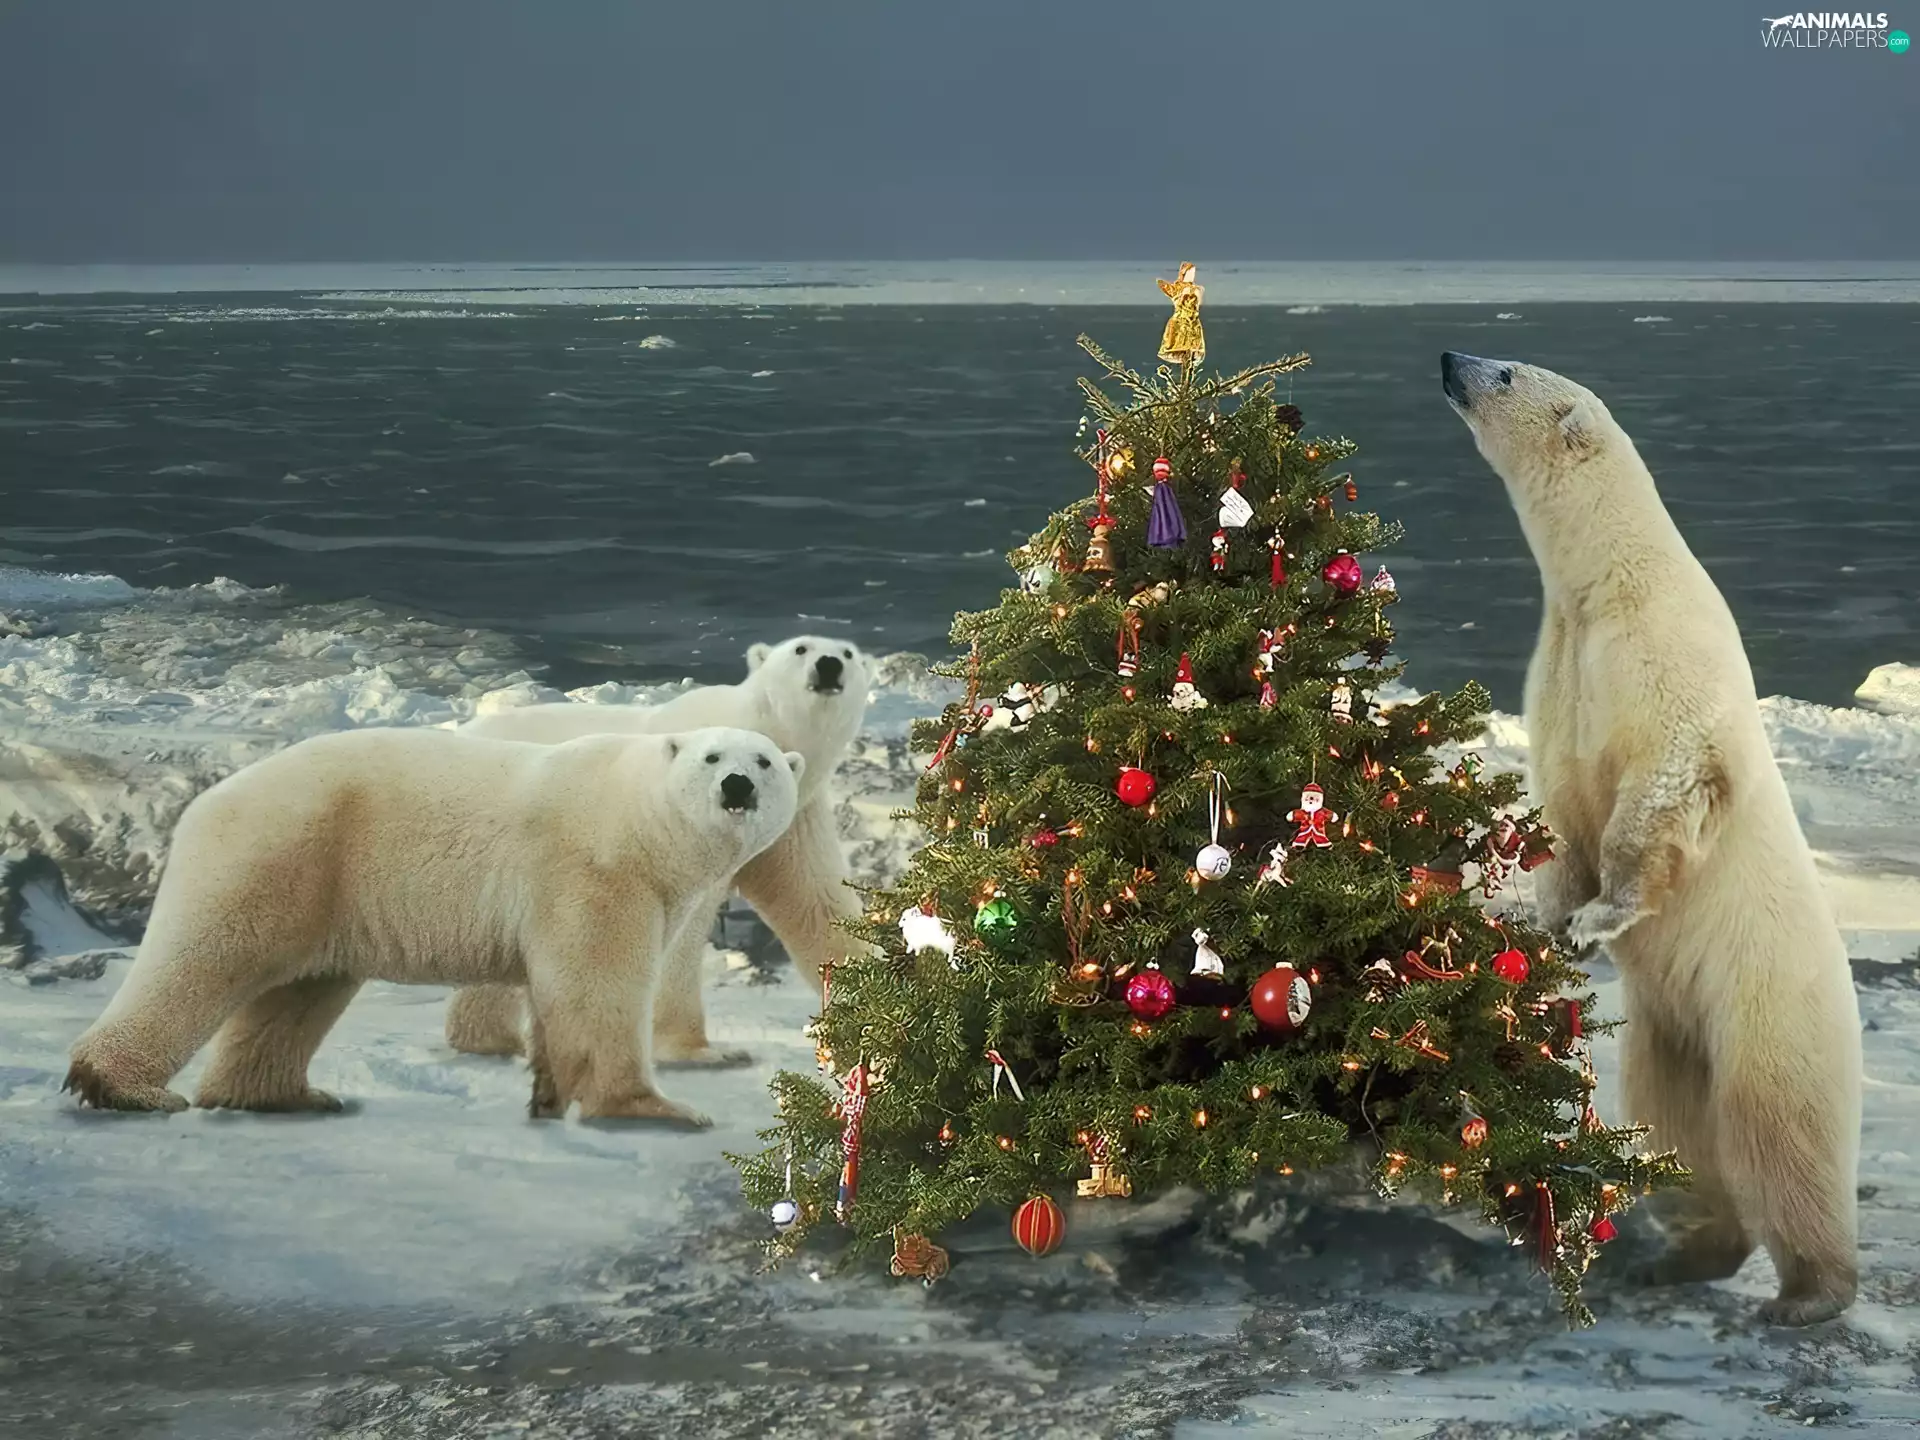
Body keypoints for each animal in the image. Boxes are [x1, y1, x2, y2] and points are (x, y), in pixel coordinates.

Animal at [63, 725, 801, 1128]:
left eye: (766, 760)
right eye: (711, 758)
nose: (738, 785)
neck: (639, 819)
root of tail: (206, 799)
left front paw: (545, 1097)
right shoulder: (593, 872)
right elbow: (596, 985)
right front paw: (657, 1109)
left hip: (326, 886)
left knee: (302, 991)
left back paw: (289, 1094)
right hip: (284, 852)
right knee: (205, 956)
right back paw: (122, 1086)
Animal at [444, 635, 872, 1065]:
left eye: (849, 653)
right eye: (801, 648)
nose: (829, 664)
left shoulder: (797, 817)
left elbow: (817, 901)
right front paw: (696, 1049)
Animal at [1443, 351, 1862, 1326]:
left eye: (1506, 369)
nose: (1448, 361)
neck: (1607, 586)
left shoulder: (1661, 660)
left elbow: (1664, 785)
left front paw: (1598, 916)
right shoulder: (1561, 669)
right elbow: (1559, 802)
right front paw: (1544, 926)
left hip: (1768, 1004)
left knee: (1778, 1131)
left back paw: (1809, 1293)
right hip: (1667, 1028)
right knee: (1677, 1128)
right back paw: (1679, 1254)